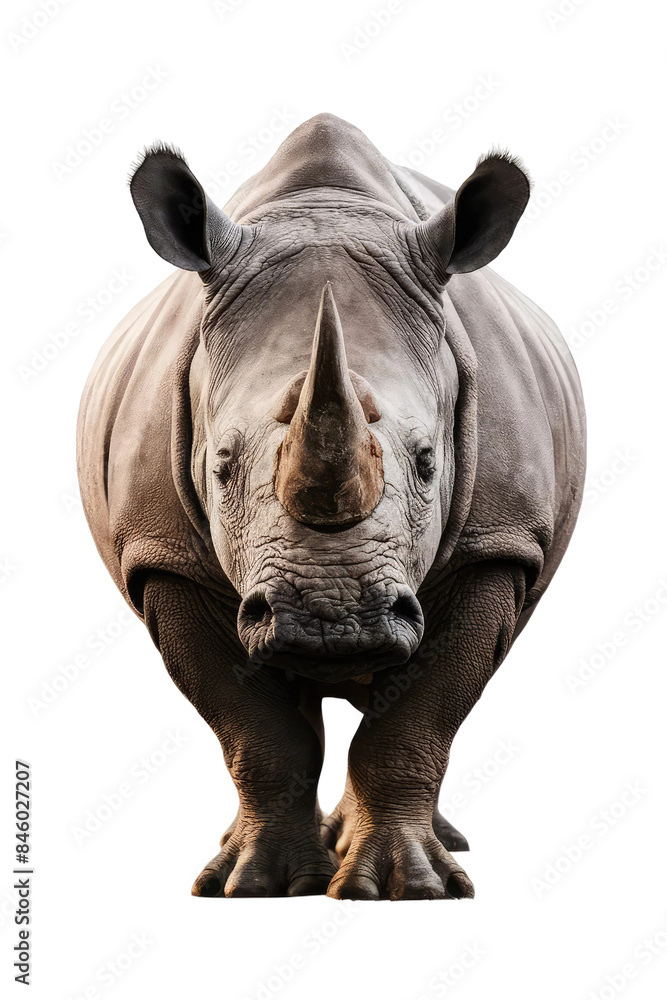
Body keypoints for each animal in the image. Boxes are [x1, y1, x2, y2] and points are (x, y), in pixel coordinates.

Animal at [77, 113, 585, 900]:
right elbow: (256, 731)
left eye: (428, 462)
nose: (331, 620)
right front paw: (256, 886)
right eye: (220, 466)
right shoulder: (162, 555)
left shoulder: (497, 543)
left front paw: (410, 889)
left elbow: (417, 717)